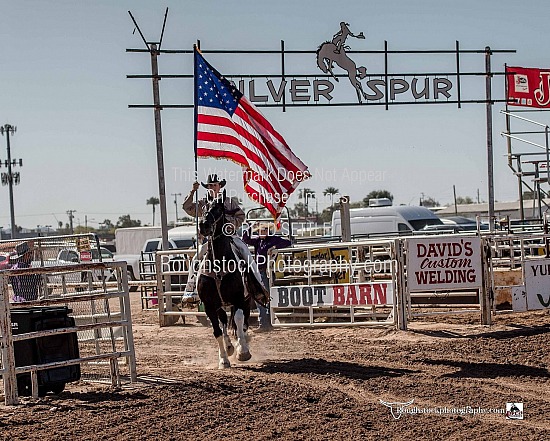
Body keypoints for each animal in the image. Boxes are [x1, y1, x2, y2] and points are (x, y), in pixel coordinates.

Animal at [198, 194, 254, 366]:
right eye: (203, 207)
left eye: (218, 208)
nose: (203, 225)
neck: (218, 265)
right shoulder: (209, 305)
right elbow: (217, 331)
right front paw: (223, 359)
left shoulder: (239, 299)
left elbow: (239, 320)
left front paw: (243, 351)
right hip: (220, 305)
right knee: (223, 321)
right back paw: (229, 346)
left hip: (247, 300)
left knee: (243, 323)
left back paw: (240, 344)